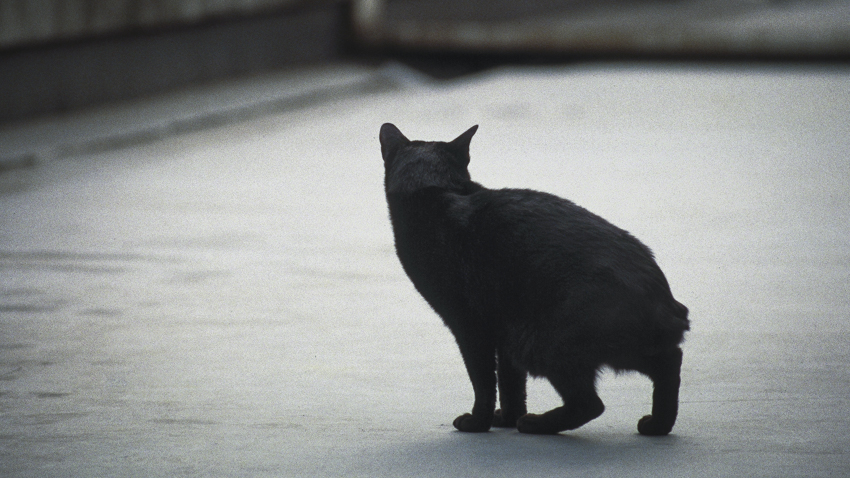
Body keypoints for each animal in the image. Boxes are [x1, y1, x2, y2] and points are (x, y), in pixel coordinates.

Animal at [380, 124, 684, 436]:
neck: (436, 193)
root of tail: (665, 305)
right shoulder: (505, 331)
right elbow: (511, 384)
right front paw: (507, 418)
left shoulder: (471, 327)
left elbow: (484, 382)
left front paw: (478, 422)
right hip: (583, 345)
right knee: (669, 363)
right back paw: (658, 424)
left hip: (541, 344)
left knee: (590, 403)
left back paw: (536, 424)